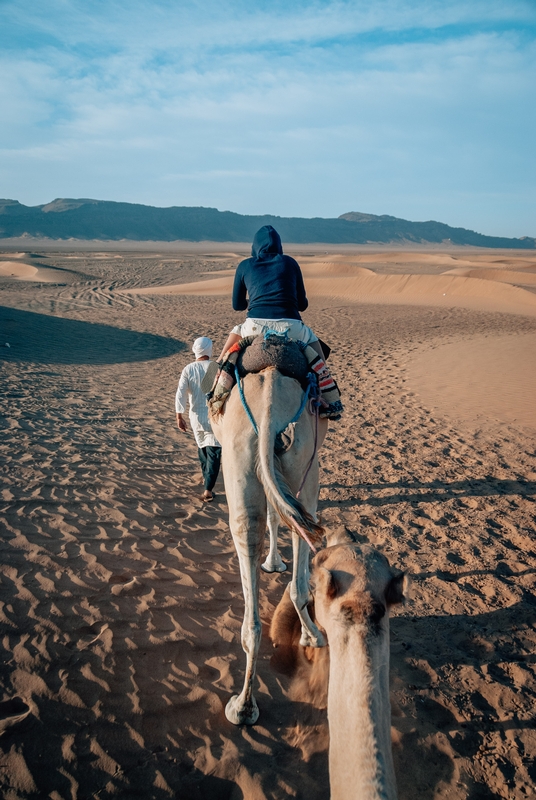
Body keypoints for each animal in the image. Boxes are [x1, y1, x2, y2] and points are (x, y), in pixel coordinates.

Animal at [209, 366, 326, 728]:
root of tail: (268, 407)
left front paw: (272, 563)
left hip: (240, 457)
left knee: (248, 527)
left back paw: (243, 707)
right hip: (305, 461)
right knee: (303, 524)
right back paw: (313, 635)